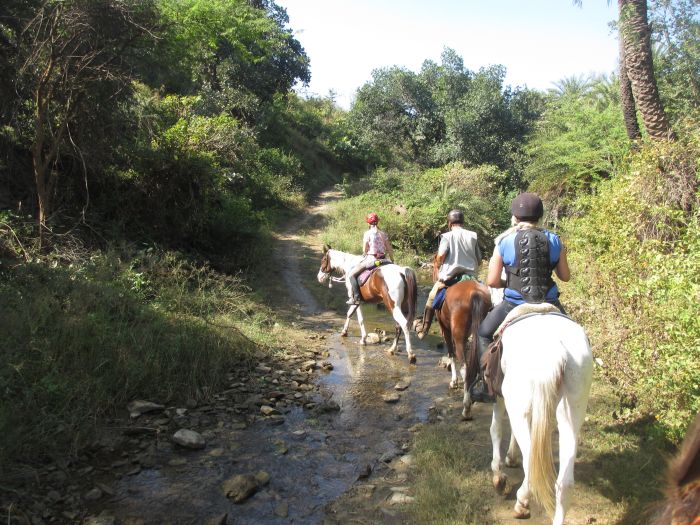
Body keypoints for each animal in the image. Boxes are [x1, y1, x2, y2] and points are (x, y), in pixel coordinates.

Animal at [430, 254, 490, 418]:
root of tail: (474, 292)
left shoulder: (445, 329)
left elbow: (451, 353)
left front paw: (453, 382)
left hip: (457, 335)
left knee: (464, 366)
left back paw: (466, 408)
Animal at [490, 314, 592, 520]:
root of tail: (556, 350)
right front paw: (511, 457)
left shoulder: (500, 396)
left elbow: (496, 429)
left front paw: (498, 476)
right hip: (571, 412)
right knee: (565, 484)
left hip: (517, 403)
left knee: (530, 462)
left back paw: (521, 502)